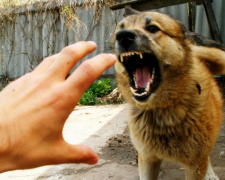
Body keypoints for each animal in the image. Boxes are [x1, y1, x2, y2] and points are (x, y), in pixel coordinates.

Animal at [112, 8, 225, 180]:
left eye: (152, 28)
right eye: (119, 29)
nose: (123, 36)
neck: (163, 110)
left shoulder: (194, 164)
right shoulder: (147, 159)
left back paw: (210, 173)